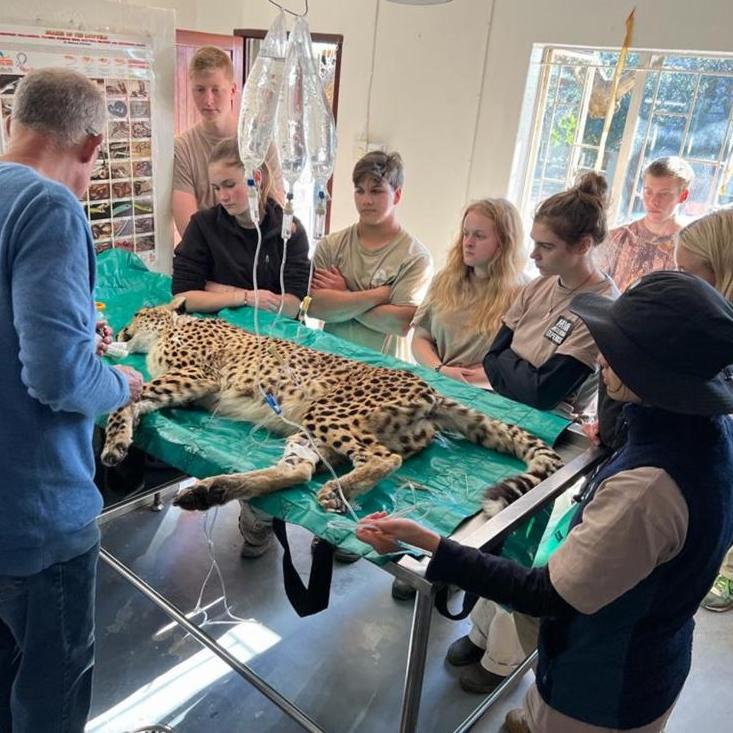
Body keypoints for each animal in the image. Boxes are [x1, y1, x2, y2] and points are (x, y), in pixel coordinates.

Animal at [101, 299, 564, 517]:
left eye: (140, 312)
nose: (120, 328)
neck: (175, 327)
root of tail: (428, 386)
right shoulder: (189, 384)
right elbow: (138, 397)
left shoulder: (198, 376)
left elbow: (128, 398)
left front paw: (114, 442)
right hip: (310, 432)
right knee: (298, 471)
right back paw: (214, 489)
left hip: (325, 413)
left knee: (383, 458)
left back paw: (337, 493)